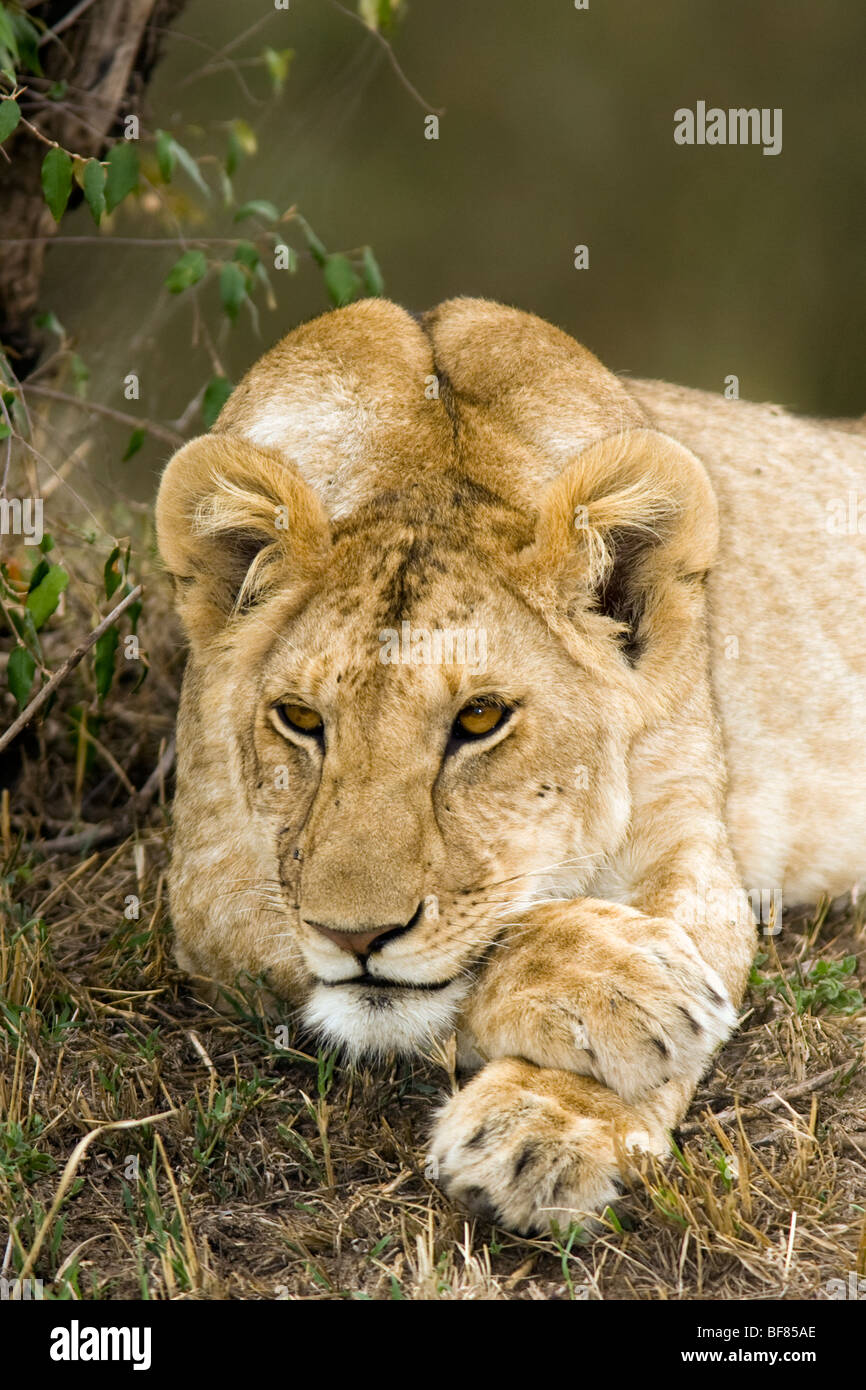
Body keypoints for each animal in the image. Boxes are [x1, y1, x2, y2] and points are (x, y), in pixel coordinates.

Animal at [157, 298, 866, 1234]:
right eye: (301, 720)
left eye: (481, 719)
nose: (355, 937)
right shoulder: (203, 881)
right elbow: (487, 950)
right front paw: (618, 984)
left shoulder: (690, 837)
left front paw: (550, 1128)